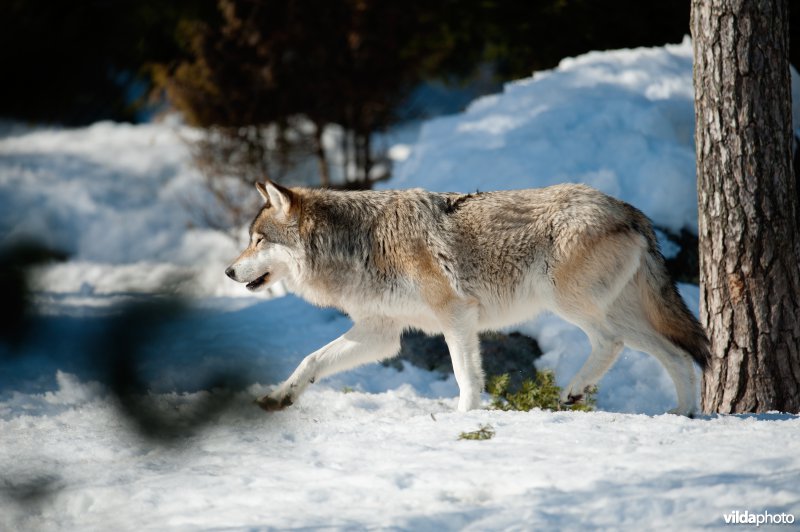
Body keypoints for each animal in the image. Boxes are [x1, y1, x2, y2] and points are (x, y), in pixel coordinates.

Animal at [225, 181, 708, 415]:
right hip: (618, 312)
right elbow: (310, 361)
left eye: (257, 241)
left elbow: (465, 377)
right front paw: (278, 398)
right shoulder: (381, 334)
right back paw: (683, 413)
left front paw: (464, 418)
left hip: (566, 302)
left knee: (612, 343)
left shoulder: (455, 315)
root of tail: (626, 207)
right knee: (678, 355)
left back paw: (574, 390)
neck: (360, 245)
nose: (229, 271)